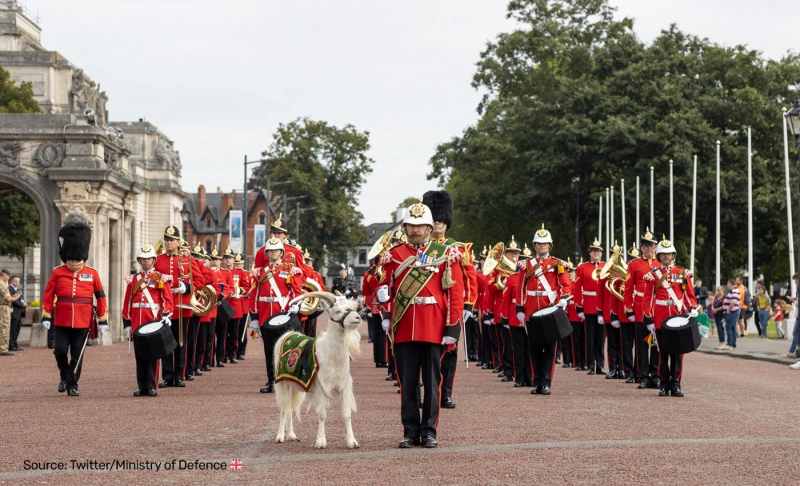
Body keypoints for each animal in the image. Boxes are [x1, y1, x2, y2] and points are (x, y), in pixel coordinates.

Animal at [274, 290, 364, 450]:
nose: (358, 318)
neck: (331, 355)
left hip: (295, 385)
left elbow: (347, 414)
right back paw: (280, 437)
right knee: (284, 408)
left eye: (353, 307)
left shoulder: (343, 386)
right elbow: (322, 415)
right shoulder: (321, 386)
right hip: (283, 383)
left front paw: (352, 442)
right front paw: (320, 442)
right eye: (337, 311)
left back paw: (291, 435)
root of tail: (287, 334)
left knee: (290, 408)